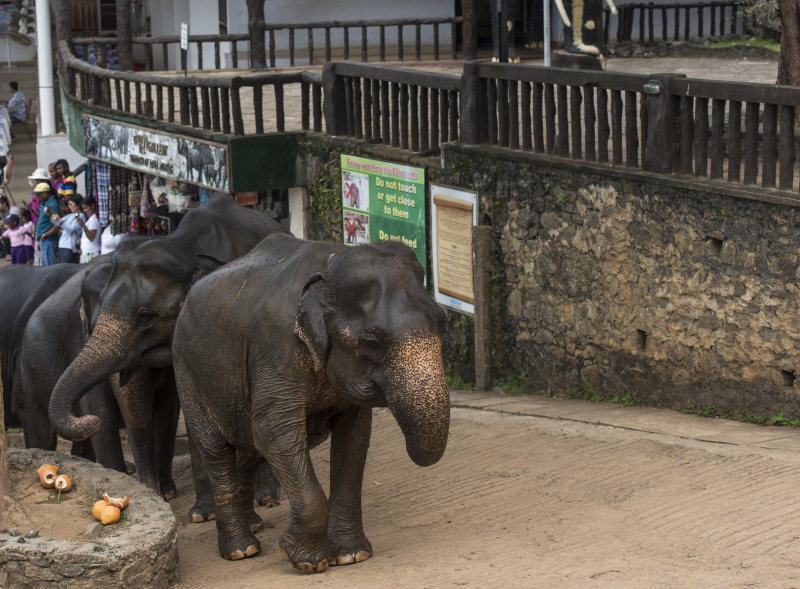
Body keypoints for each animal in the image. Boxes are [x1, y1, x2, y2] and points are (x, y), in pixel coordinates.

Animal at [173, 233, 450, 568]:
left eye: (443, 324)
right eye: (372, 342)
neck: (330, 263)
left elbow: (354, 437)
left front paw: (351, 556)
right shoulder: (277, 348)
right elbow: (274, 431)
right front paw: (308, 562)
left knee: (249, 445)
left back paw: (253, 526)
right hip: (187, 372)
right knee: (217, 450)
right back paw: (242, 550)